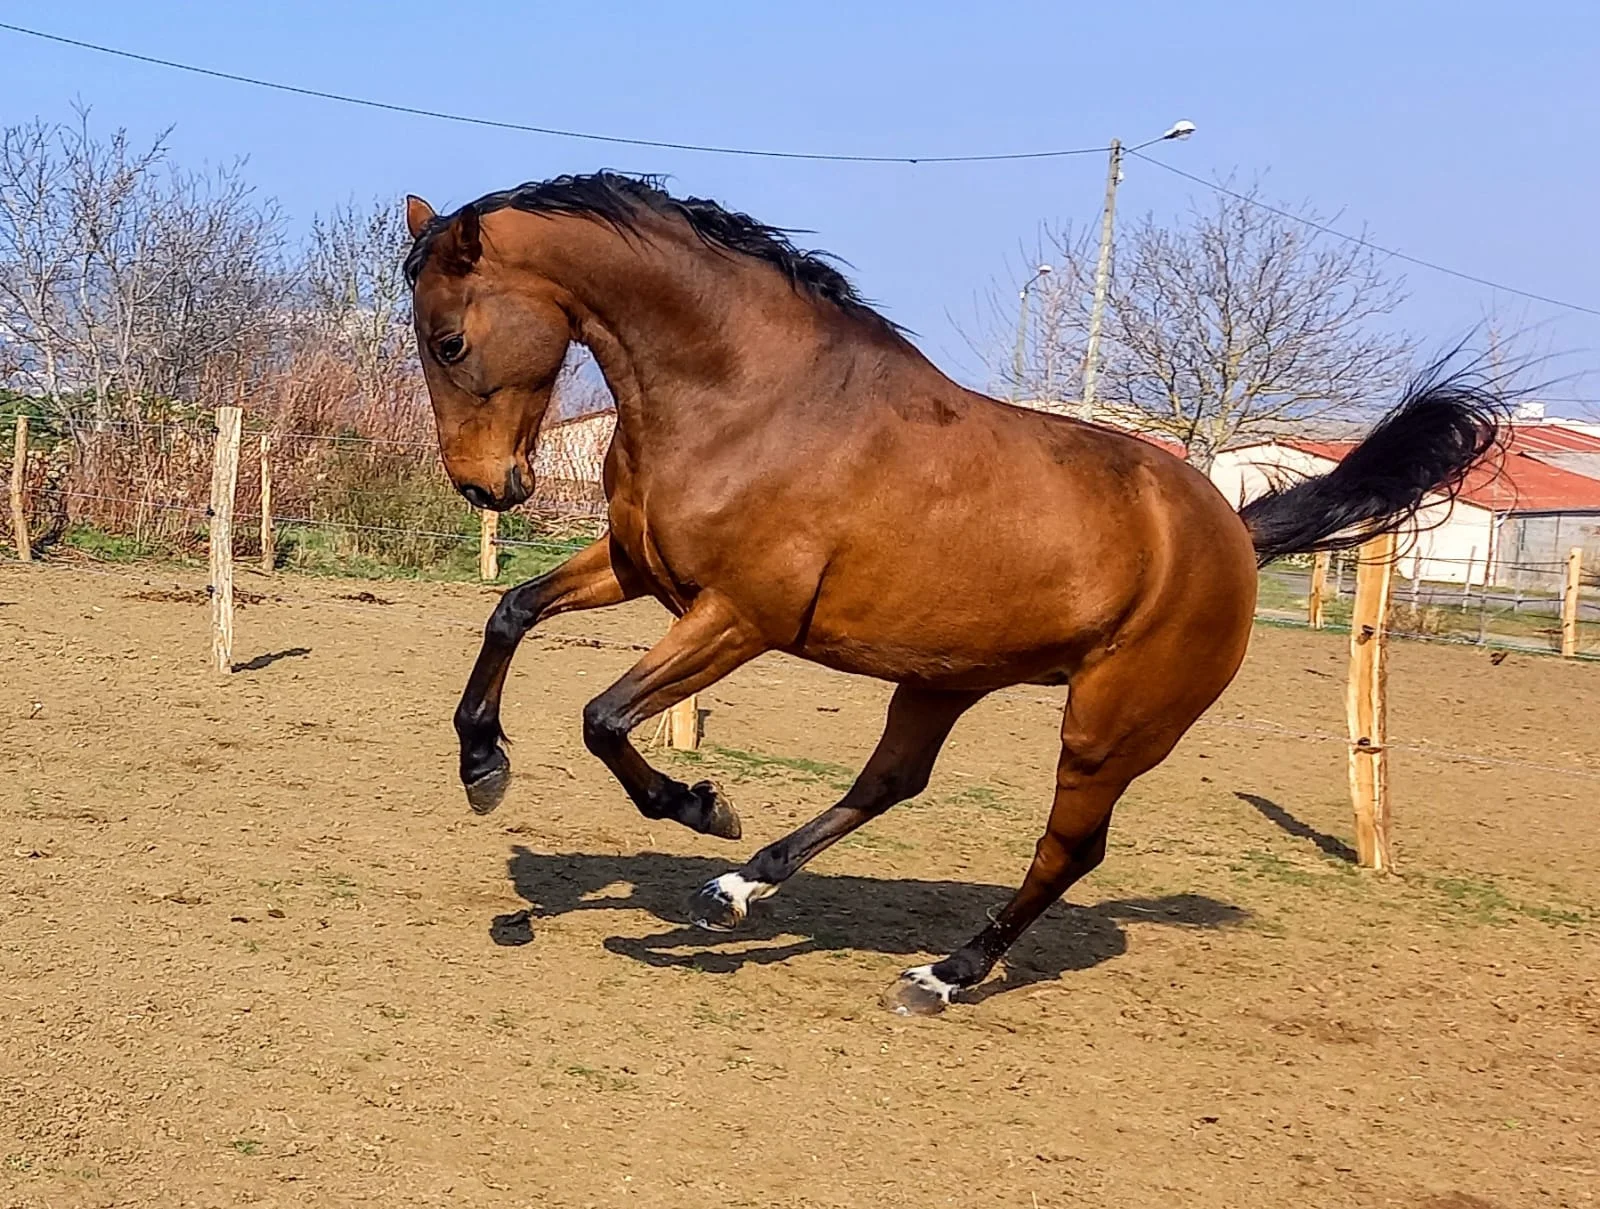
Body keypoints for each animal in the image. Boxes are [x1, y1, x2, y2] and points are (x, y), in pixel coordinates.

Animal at [400, 175, 1497, 1017]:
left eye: (448, 342)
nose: (485, 488)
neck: (752, 398)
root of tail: (1231, 531)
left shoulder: (741, 615)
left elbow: (604, 716)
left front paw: (700, 805)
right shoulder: (638, 568)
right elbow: (510, 613)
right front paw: (483, 767)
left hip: (1108, 725)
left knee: (1069, 848)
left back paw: (940, 974)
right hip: (941, 677)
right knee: (890, 781)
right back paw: (737, 895)